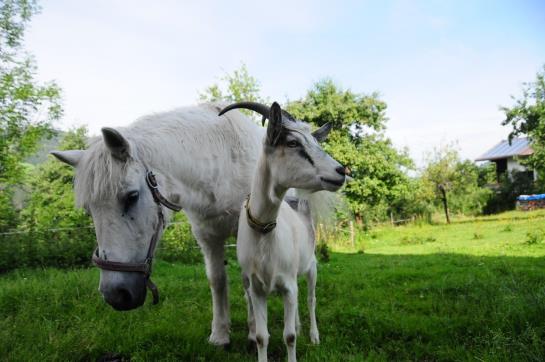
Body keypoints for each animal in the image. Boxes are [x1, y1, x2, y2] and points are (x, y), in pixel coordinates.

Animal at [219, 102, 346, 362]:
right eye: (292, 143)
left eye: (316, 142)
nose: (342, 171)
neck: (264, 232)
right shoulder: (257, 289)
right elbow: (261, 337)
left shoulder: (288, 285)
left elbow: (289, 337)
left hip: (312, 267)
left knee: (310, 299)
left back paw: (314, 336)